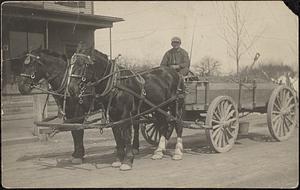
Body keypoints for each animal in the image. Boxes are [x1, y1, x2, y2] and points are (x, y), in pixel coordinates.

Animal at [68, 43, 185, 171]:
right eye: (71, 64)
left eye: (84, 64)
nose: (71, 88)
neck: (115, 84)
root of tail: (175, 73)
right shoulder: (113, 117)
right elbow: (118, 137)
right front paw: (118, 159)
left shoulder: (125, 115)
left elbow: (127, 136)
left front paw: (128, 160)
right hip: (160, 108)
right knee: (163, 125)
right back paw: (159, 152)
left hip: (175, 105)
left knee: (178, 124)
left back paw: (178, 152)